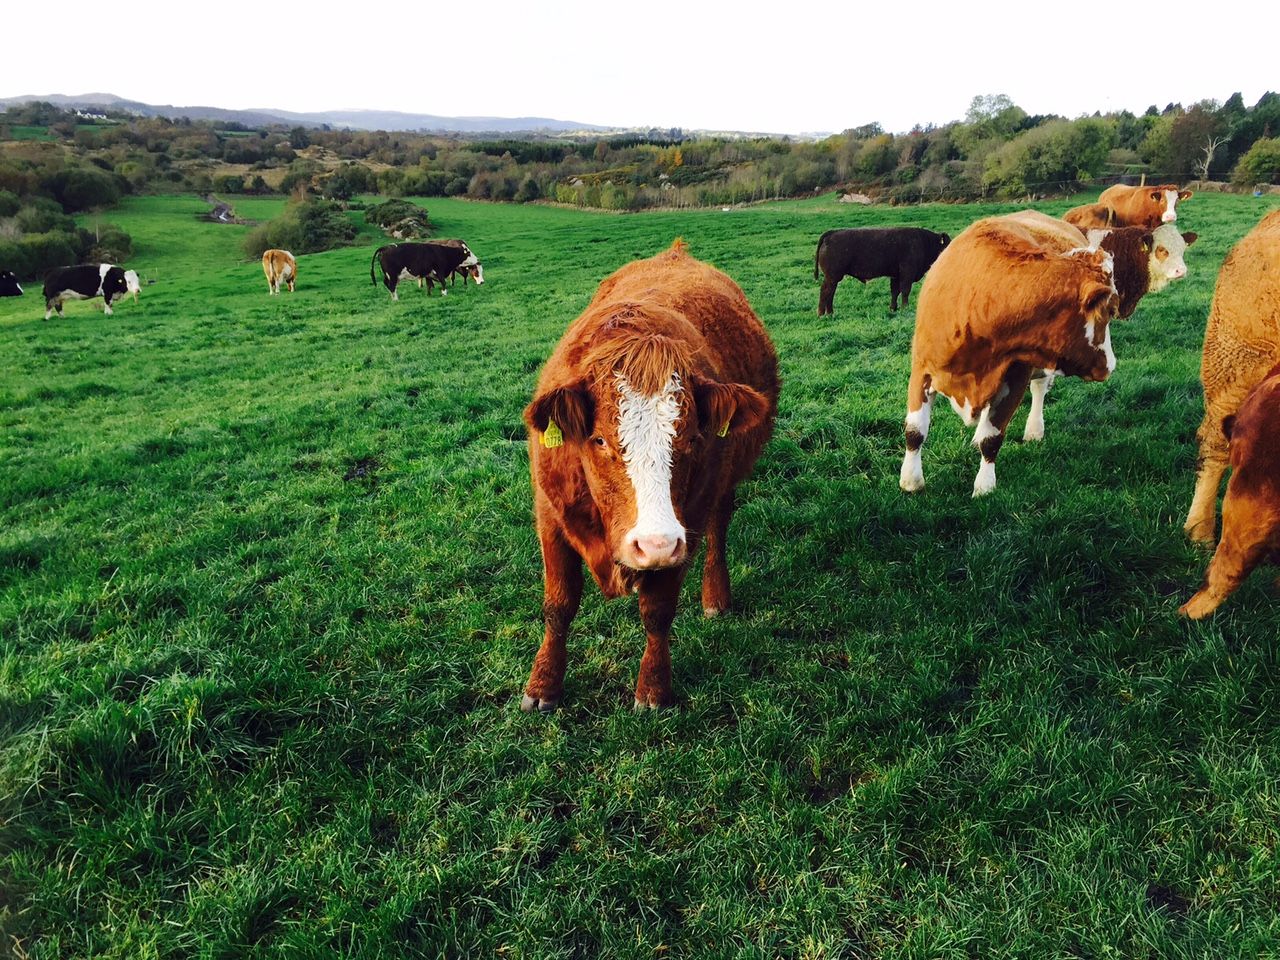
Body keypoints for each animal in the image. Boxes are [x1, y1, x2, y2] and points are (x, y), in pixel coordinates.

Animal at [521, 239, 778, 711]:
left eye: (693, 437)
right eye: (599, 440)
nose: (654, 543)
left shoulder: (684, 527)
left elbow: (658, 612)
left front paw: (653, 689)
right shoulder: (550, 515)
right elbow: (559, 604)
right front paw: (543, 685)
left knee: (719, 530)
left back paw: (716, 597)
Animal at [814, 227, 950, 314]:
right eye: (947, 246)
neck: (923, 242)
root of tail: (832, 233)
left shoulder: (896, 275)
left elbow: (895, 291)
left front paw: (893, 308)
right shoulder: (907, 273)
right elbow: (905, 290)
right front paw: (905, 308)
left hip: (834, 277)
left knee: (830, 292)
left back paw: (830, 313)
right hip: (832, 276)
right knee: (825, 291)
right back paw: (821, 314)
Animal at [898, 211, 1162, 497]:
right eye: (1109, 309)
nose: (1111, 365)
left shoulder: (1016, 377)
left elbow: (992, 437)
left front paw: (984, 486)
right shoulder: (921, 369)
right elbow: (915, 431)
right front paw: (911, 480)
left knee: (1038, 391)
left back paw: (1033, 428)